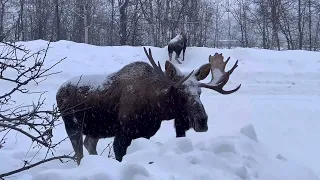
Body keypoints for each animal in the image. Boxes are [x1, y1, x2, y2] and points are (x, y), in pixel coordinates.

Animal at [55, 47, 240, 165]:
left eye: (200, 93)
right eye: (181, 93)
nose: (202, 121)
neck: (156, 110)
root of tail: (58, 90)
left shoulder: (145, 133)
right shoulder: (123, 134)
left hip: (97, 129)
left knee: (89, 145)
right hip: (72, 125)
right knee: (79, 154)